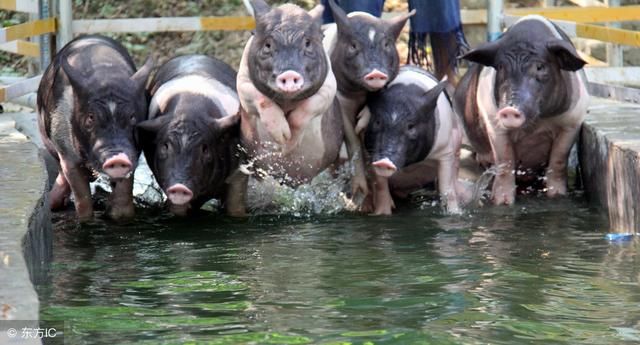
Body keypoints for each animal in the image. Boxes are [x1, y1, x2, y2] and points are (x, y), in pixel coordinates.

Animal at [235, 0, 344, 199]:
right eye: (268, 45)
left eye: (307, 43)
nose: (289, 72)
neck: (287, 101)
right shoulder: (243, 82)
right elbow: (260, 99)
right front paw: (282, 137)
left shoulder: (329, 86)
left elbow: (309, 107)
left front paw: (288, 143)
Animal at [322, 0, 418, 203]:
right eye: (353, 45)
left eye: (387, 44)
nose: (376, 73)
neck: (360, 93)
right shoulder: (341, 100)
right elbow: (352, 140)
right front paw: (360, 194)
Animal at [362, 66, 462, 214]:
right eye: (378, 121)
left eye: (411, 126)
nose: (384, 162)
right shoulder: (370, 152)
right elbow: (380, 186)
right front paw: (381, 214)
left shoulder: (446, 150)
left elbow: (447, 188)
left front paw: (454, 213)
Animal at [452, 14, 588, 204]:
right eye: (501, 67)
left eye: (540, 67)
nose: (509, 109)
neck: (537, 125)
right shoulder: (494, 123)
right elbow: (505, 160)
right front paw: (502, 203)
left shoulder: (572, 122)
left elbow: (558, 160)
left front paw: (557, 196)